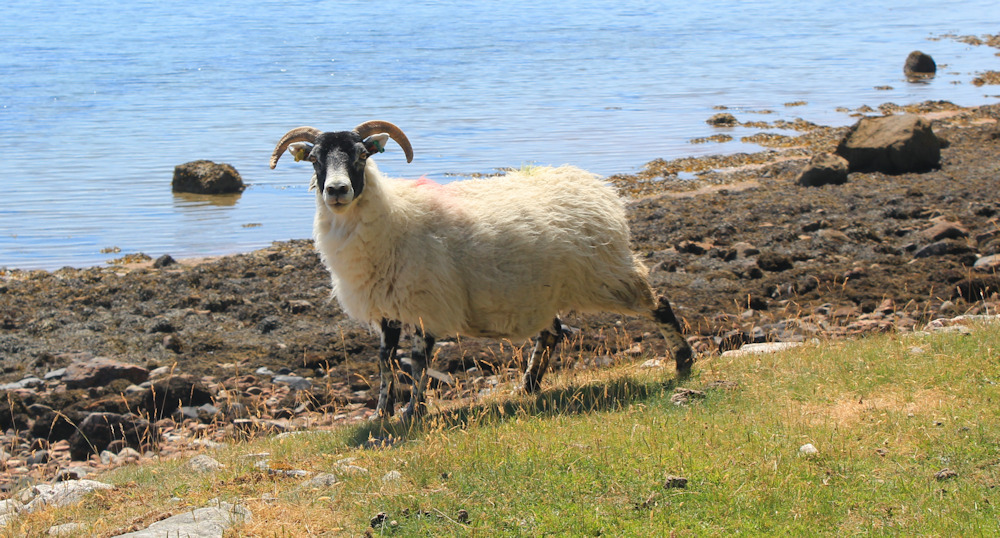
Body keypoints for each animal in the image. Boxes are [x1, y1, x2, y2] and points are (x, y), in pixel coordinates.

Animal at [270, 120, 693, 420]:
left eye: (361, 155)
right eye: (314, 159)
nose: (337, 191)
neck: (394, 216)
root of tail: (597, 187)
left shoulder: (427, 304)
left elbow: (419, 364)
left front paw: (412, 413)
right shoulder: (387, 308)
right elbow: (385, 362)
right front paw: (381, 413)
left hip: (608, 273)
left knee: (659, 305)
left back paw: (684, 362)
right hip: (544, 291)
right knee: (553, 333)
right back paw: (529, 386)